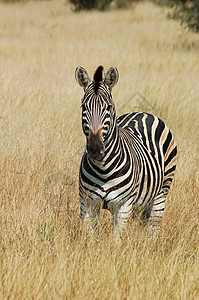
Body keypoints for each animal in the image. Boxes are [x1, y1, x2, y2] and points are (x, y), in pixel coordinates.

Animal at [74, 64, 177, 236]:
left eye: (108, 107)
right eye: (83, 107)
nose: (95, 148)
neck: (103, 168)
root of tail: (143, 113)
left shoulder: (123, 206)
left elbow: (116, 239)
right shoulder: (87, 203)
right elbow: (89, 237)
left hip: (162, 191)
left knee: (153, 227)